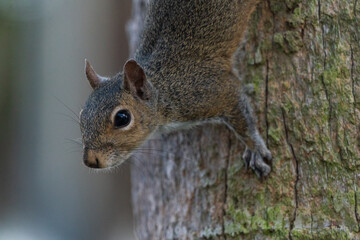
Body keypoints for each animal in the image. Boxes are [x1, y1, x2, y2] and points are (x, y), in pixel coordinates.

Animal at [79, 0, 272, 176]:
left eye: (122, 118)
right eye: (82, 115)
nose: (91, 160)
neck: (164, 89)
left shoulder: (215, 90)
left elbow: (243, 119)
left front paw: (255, 149)